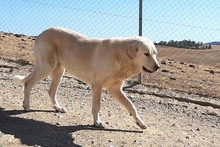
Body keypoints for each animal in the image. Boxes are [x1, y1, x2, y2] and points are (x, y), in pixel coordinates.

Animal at [13, 27, 159, 129]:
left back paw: (58, 108)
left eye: (155, 54)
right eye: (146, 54)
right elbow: (97, 106)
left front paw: (140, 123)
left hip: (59, 71)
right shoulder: (97, 86)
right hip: (46, 67)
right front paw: (97, 122)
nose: (157, 67)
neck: (121, 57)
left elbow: (131, 106)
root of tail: (42, 32)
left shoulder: (115, 89)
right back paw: (26, 105)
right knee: (28, 83)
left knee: (51, 91)